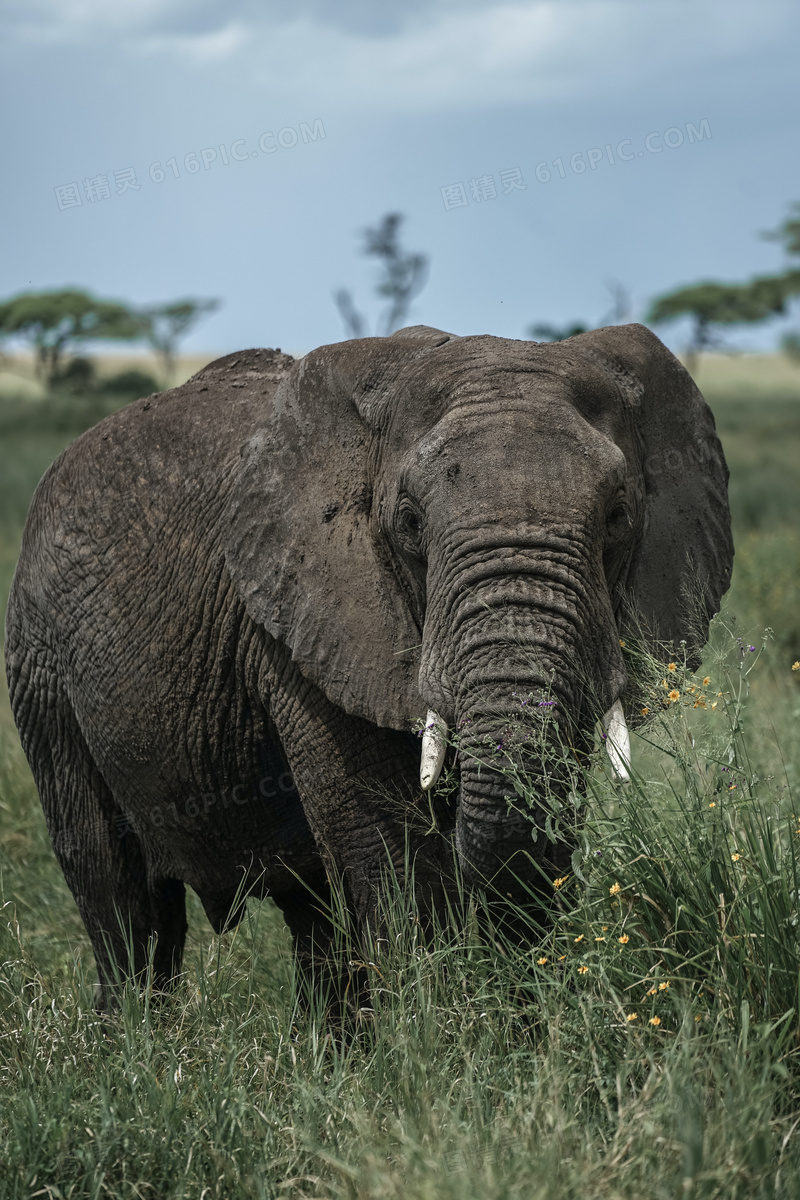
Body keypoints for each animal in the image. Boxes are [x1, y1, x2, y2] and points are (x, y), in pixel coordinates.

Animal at [4, 324, 734, 1008]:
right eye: (409, 524)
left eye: (617, 517)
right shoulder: (304, 623)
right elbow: (390, 850)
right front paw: (441, 1035)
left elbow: (543, 820)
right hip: (39, 662)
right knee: (119, 895)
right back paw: (136, 1043)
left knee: (308, 918)